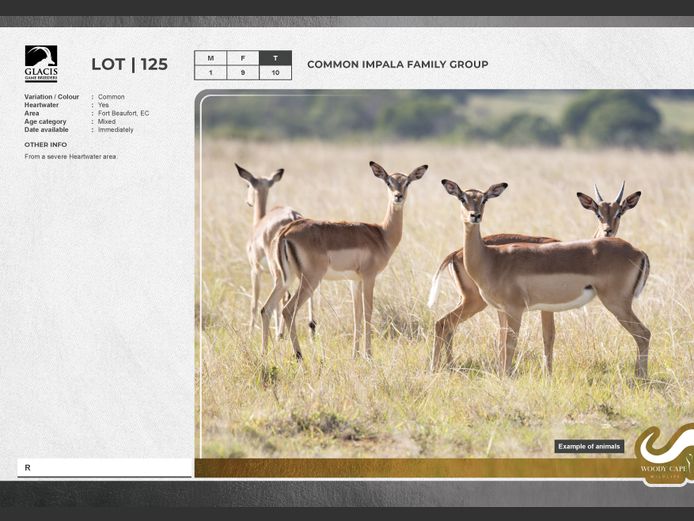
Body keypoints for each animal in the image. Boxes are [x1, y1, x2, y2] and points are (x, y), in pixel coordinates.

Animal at [236, 164, 314, 337]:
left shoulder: (255, 269)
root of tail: (293, 216)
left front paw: (250, 333)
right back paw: (312, 329)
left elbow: (254, 302)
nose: (248, 202)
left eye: (247, 185)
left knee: (285, 297)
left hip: (278, 270)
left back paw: (279, 334)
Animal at [260, 161, 428, 360]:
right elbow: (368, 313)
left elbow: (357, 315)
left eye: (407, 182)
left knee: (266, 308)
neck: (381, 234)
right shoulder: (369, 277)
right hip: (310, 280)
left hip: (284, 278)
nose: (398, 197)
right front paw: (368, 355)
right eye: (388, 181)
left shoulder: (354, 281)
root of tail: (286, 231)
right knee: (287, 310)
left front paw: (355, 355)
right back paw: (299, 356)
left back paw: (264, 354)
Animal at [439, 180, 650, 378]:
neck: (491, 258)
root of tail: (638, 251)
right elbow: (511, 342)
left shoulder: (517, 310)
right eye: (462, 198)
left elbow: (516, 342)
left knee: (643, 334)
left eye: (484, 199)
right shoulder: (513, 310)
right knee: (444, 324)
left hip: (617, 304)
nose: (475, 216)